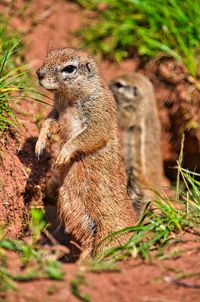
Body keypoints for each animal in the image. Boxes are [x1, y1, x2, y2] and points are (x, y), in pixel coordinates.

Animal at [35, 47, 137, 260]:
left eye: (69, 68)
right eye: (48, 55)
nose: (39, 73)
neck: (69, 99)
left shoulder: (98, 112)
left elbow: (89, 135)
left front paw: (62, 155)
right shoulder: (57, 111)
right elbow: (49, 122)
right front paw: (40, 144)